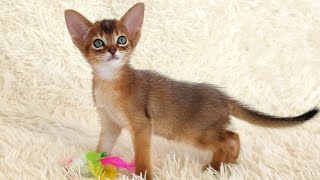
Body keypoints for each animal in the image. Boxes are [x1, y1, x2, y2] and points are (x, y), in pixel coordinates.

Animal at [63, 2, 318, 179]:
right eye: (98, 43)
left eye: (122, 40)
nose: (113, 50)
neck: (109, 83)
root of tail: (223, 97)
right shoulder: (110, 125)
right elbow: (101, 150)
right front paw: (89, 167)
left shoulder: (142, 126)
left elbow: (142, 156)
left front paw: (143, 175)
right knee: (232, 135)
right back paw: (229, 163)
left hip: (196, 133)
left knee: (229, 138)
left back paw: (216, 167)